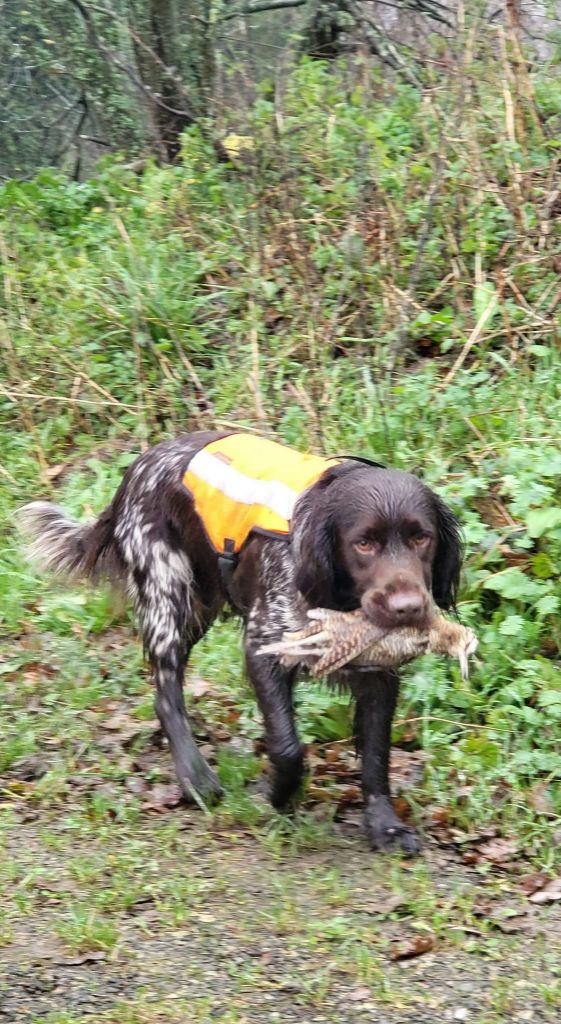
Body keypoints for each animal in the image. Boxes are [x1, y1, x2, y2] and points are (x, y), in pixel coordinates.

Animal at [19, 428, 462, 851]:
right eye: (364, 543)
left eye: (421, 538)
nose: (408, 608)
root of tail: (137, 466)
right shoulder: (265, 647)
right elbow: (288, 747)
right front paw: (277, 795)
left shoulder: (378, 675)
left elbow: (375, 755)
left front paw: (385, 826)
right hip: (169, 596)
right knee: (166, 693)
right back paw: (195, 777)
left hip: (201, 605)